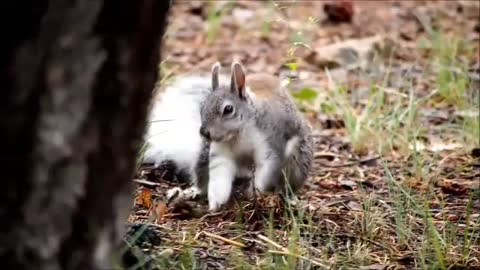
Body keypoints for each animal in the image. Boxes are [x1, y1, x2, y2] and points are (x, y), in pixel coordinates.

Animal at [142, 61, 316, 213]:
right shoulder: (220, 153)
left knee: (288, 185)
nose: (204, 132)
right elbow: (220, 178)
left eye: (228, 109)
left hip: (298, 162)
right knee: (202, 179)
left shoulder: (270, 146)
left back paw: (289, 198)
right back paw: (191, 191)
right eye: (202, 108)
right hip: (203, 156)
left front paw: (254, 194)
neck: (238, 134)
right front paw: (215, 205)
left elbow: (264, 172)